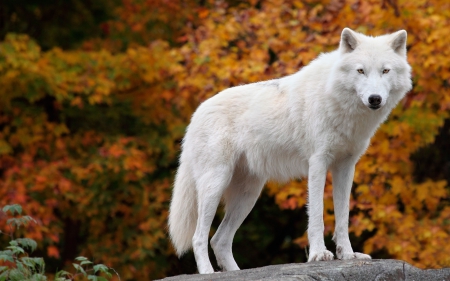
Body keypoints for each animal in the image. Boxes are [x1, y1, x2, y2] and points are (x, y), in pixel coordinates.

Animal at [168, 27, 412, 272]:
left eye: (385, 71)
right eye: (361, 70)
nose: (375, 99)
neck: (336, 99)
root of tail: (196, 113)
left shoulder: (345, 166)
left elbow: (343, 216)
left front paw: (348, 255)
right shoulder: (318, 163)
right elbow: (317, 215)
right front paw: (318, 254)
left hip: (248, 196)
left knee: (219, 240)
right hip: (215, 185)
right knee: (199, 238)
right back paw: (207, 272)